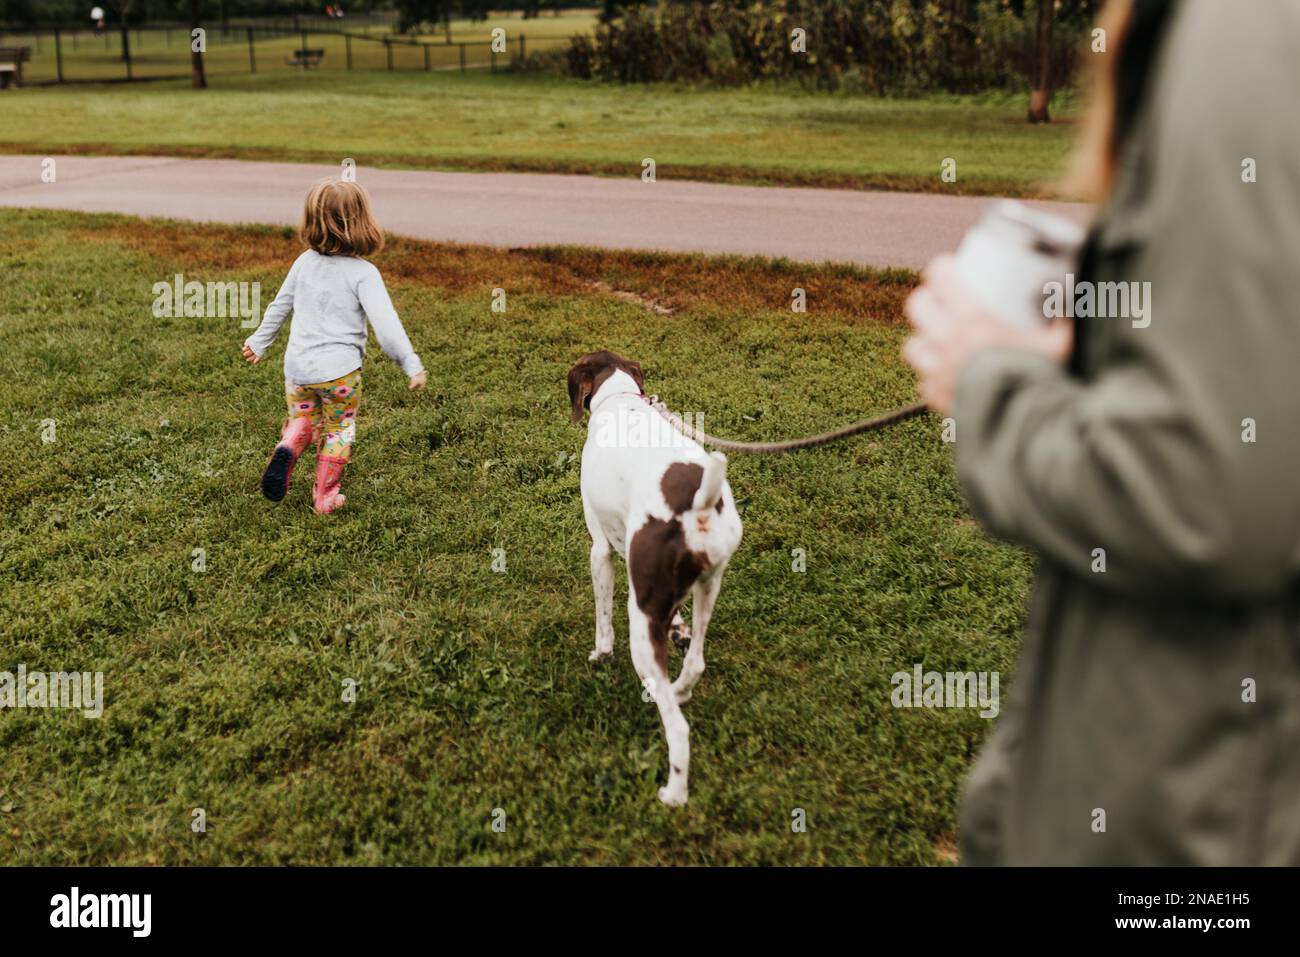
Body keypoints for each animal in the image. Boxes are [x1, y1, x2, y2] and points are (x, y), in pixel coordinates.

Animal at [566, 351, 743, 806]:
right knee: (696, 662)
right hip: (709, 587)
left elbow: (603, 619)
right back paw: (679, 688)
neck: (620, 400)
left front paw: (600, 654)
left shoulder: (601, 550)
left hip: (642, 629)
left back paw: (674, 794)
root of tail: (699, 503)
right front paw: (677, 630)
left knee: (677, 729)